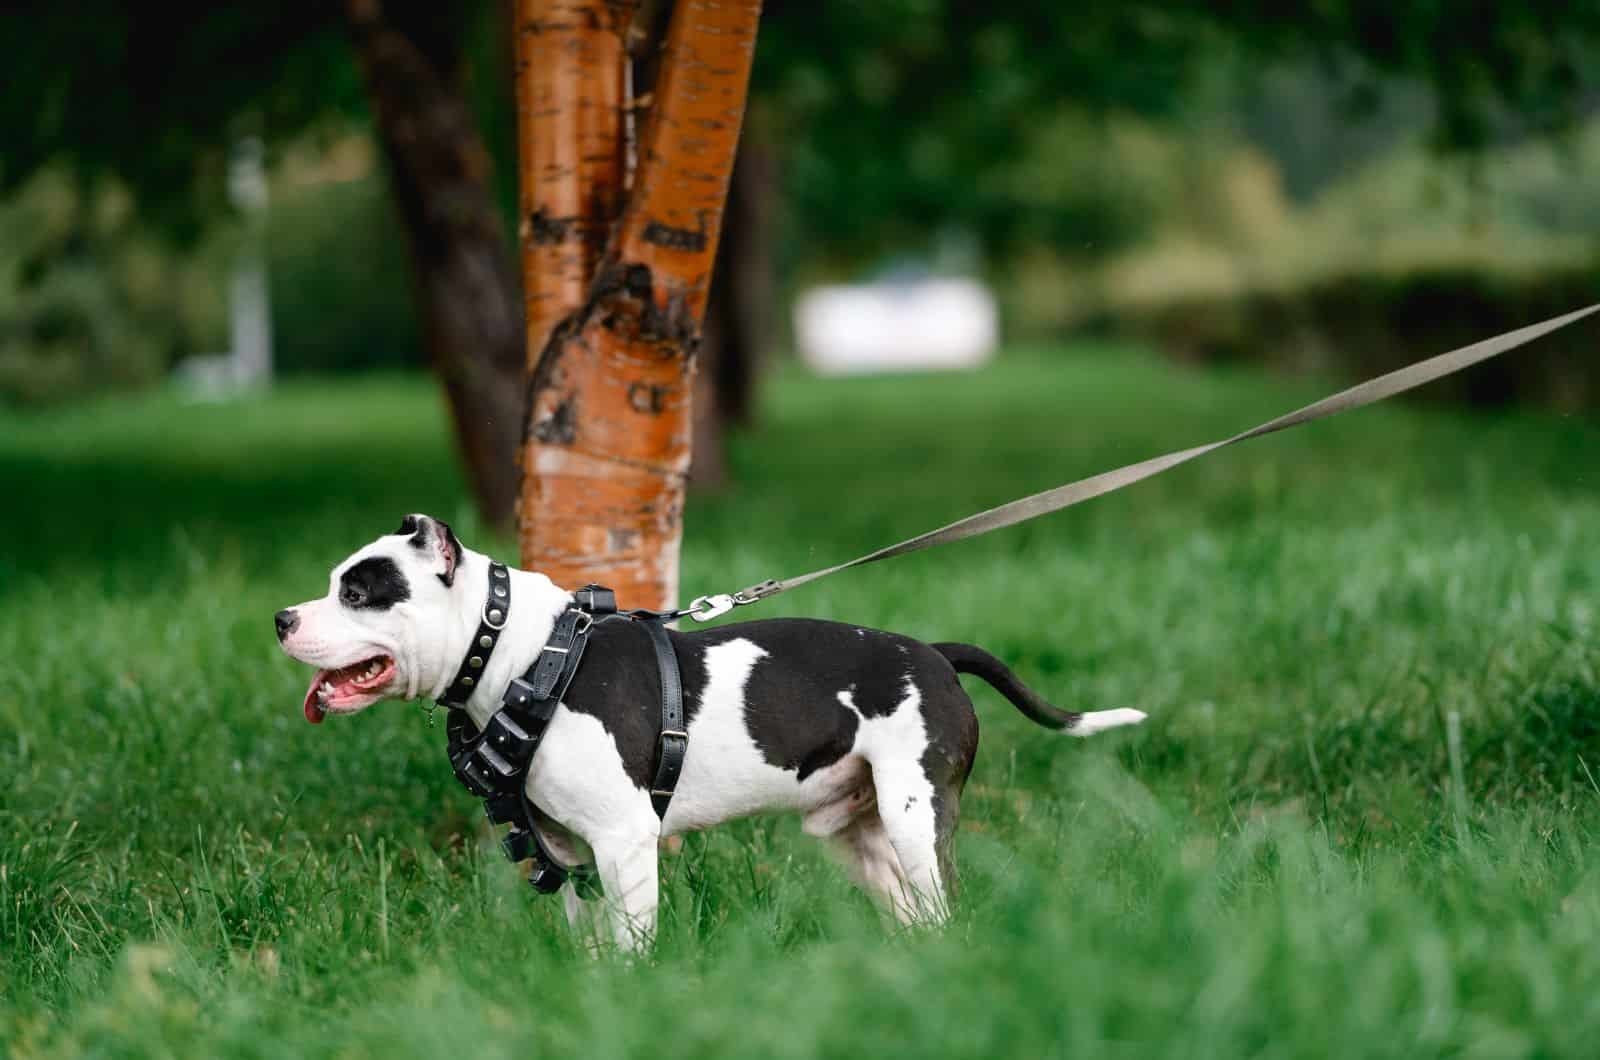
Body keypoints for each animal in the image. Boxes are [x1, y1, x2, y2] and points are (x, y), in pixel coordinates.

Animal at [278, 515, 1152, 947]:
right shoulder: (568, 853)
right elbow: (593, 945)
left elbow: (634, 946)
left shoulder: (625, 841)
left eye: (360, 592)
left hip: (916, 815)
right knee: (916, 915)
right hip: (863, 836)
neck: (526, 654)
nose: (283, 617)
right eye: (332, 584)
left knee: (942, 900)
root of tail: (936, 653)